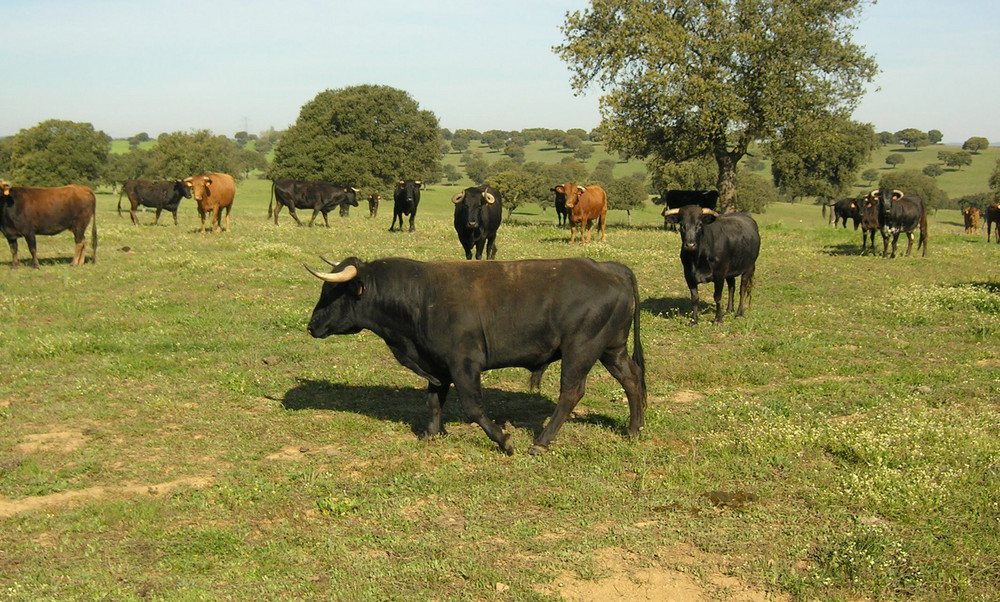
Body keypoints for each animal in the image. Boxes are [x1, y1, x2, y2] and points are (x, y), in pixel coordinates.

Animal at [304, 254, 648, 454]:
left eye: (332, 291)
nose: (311, 325)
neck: (421, 297)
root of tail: (608, 268)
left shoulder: (464, 363)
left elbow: (472, 407)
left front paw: (504, 440)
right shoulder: (438, 366)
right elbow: (433, 401)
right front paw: (431, 434)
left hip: (581, 349)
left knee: (571, 392)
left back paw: (541, 442)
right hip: (611, 348)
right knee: (632, 378)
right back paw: (634, 429)